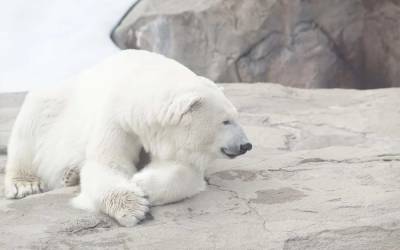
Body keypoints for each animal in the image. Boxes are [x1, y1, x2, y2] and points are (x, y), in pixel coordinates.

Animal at [4, 49, 252, 226]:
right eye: (226, 121)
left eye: (236, 116)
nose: (246, 145)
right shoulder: (116, 119)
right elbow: (107, 165)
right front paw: (133, 206)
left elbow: (183, 170)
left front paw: (142, 183)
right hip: (53, 106)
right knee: (30, 124)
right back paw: (25, 184)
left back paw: (71, 175)